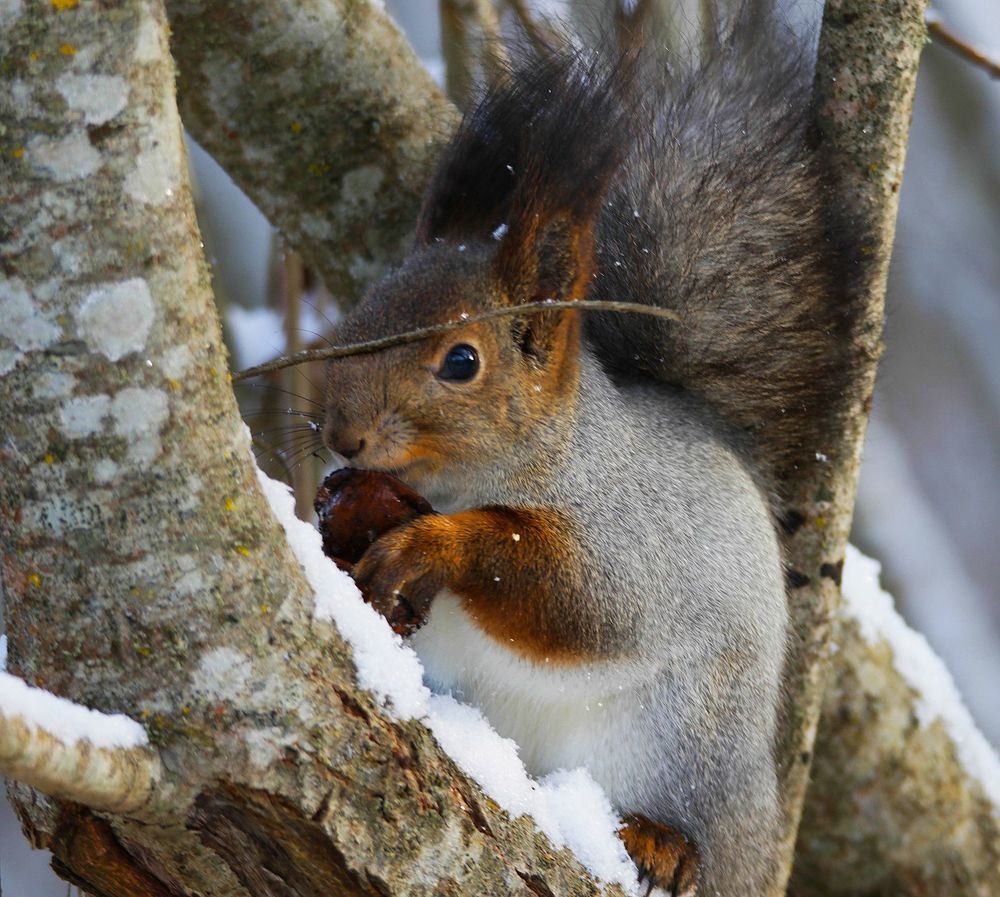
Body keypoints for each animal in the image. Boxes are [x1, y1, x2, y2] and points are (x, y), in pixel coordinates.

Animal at [320, 4, 865, 895]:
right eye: (358, 314)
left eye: (462, 361)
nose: (342, 435)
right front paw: (335, 508)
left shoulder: (631, 536)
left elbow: (572, 600)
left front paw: (440, 544)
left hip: (689, 741)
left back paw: (663, 840)